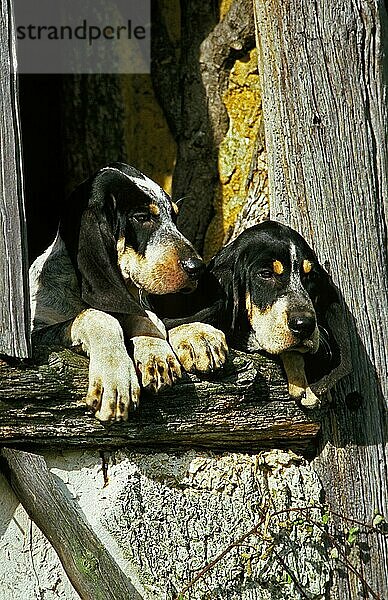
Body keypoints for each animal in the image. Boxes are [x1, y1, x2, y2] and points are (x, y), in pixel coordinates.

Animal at [31, 162, 229, 420]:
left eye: (174, 217)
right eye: (142, 217)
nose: (197, 267)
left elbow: (147, 317)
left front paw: (158, 349)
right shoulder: (36, 337)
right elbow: (98, 316)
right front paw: (116, 378)